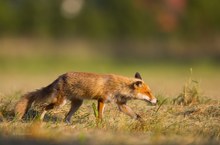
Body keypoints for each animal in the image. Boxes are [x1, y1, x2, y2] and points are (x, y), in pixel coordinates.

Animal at [14, 72, 156, 123]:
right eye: (148, 93)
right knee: (44, 107)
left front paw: (144, 123)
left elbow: (136, 115)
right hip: (60, 103)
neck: (119, 87)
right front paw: (101, 125)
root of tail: (61, 76)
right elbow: (100, 115)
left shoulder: (121, 105)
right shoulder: (102, 99)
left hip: (77, 104)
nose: (156, 100)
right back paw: (40, 120)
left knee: (66, 117)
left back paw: (69, 125)